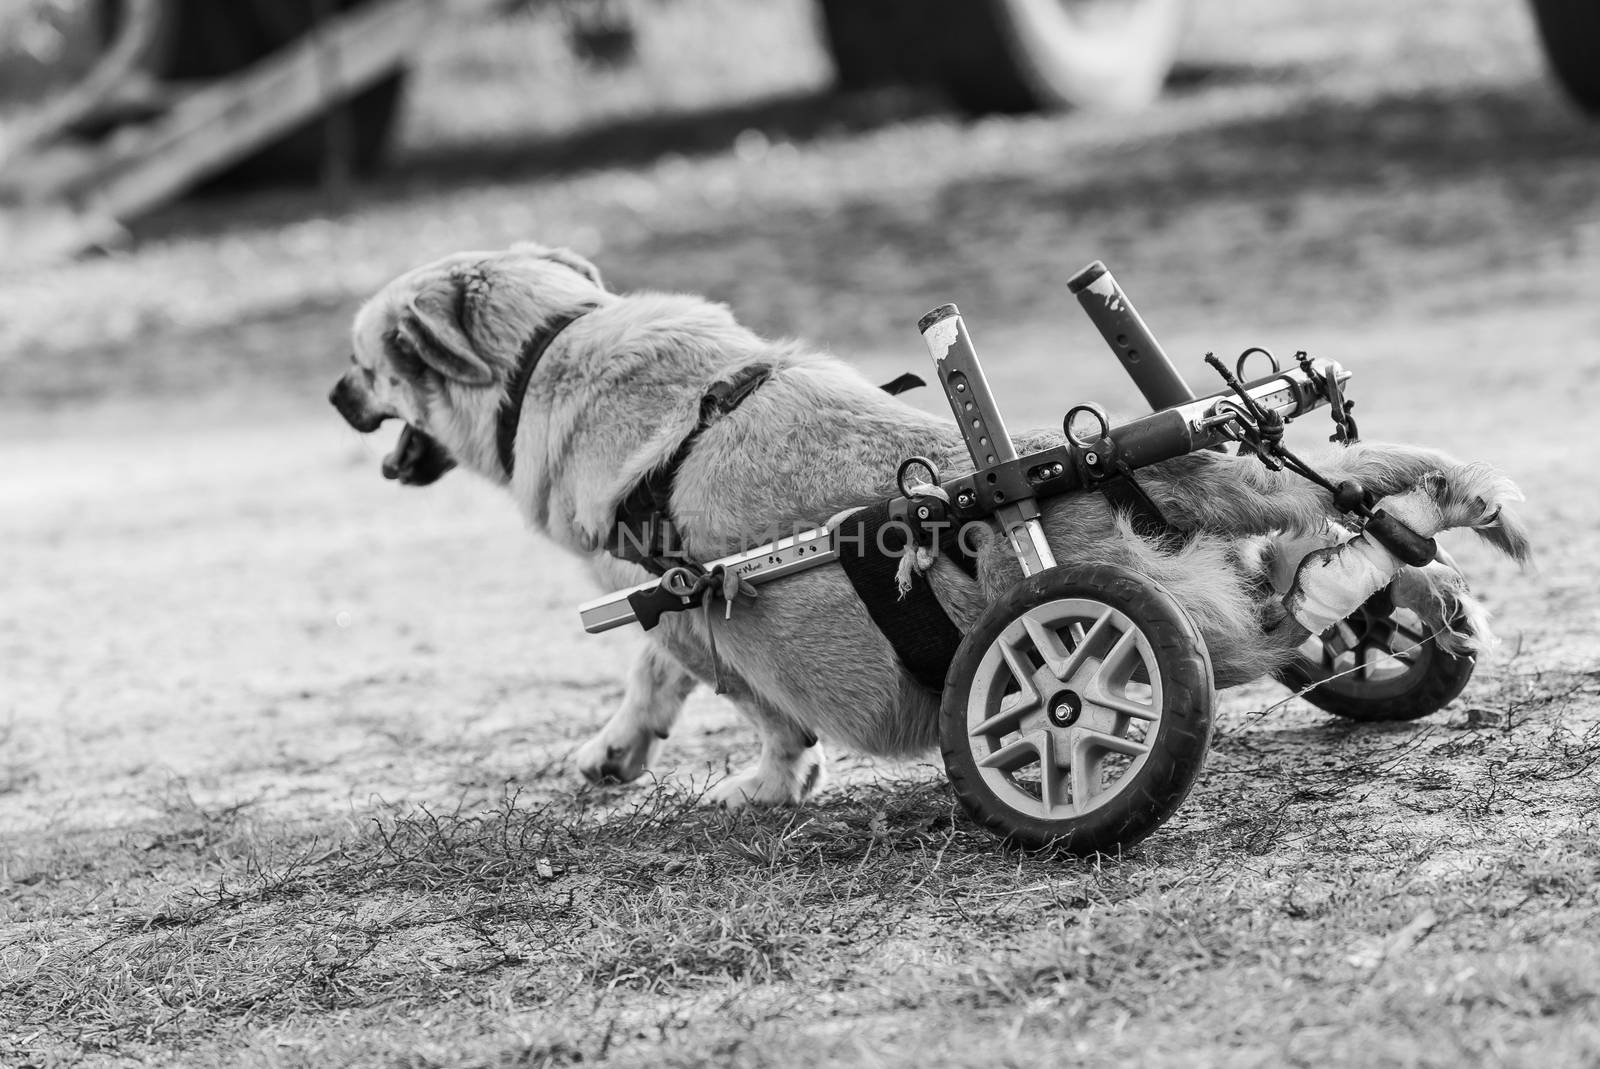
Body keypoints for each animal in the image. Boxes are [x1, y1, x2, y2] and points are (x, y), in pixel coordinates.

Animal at [331, 241, 1529, 806]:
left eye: (365, 363)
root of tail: (1133, 467)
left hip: (1137, 622)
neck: (552, 344)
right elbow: (651, 689)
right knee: (1341, 531)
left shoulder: (681, 606)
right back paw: (1412, 557)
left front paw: (766, 781)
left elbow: (728, 697)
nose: (332, 395)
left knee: (1279, 603)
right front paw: (615, 755)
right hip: (1265, 531)